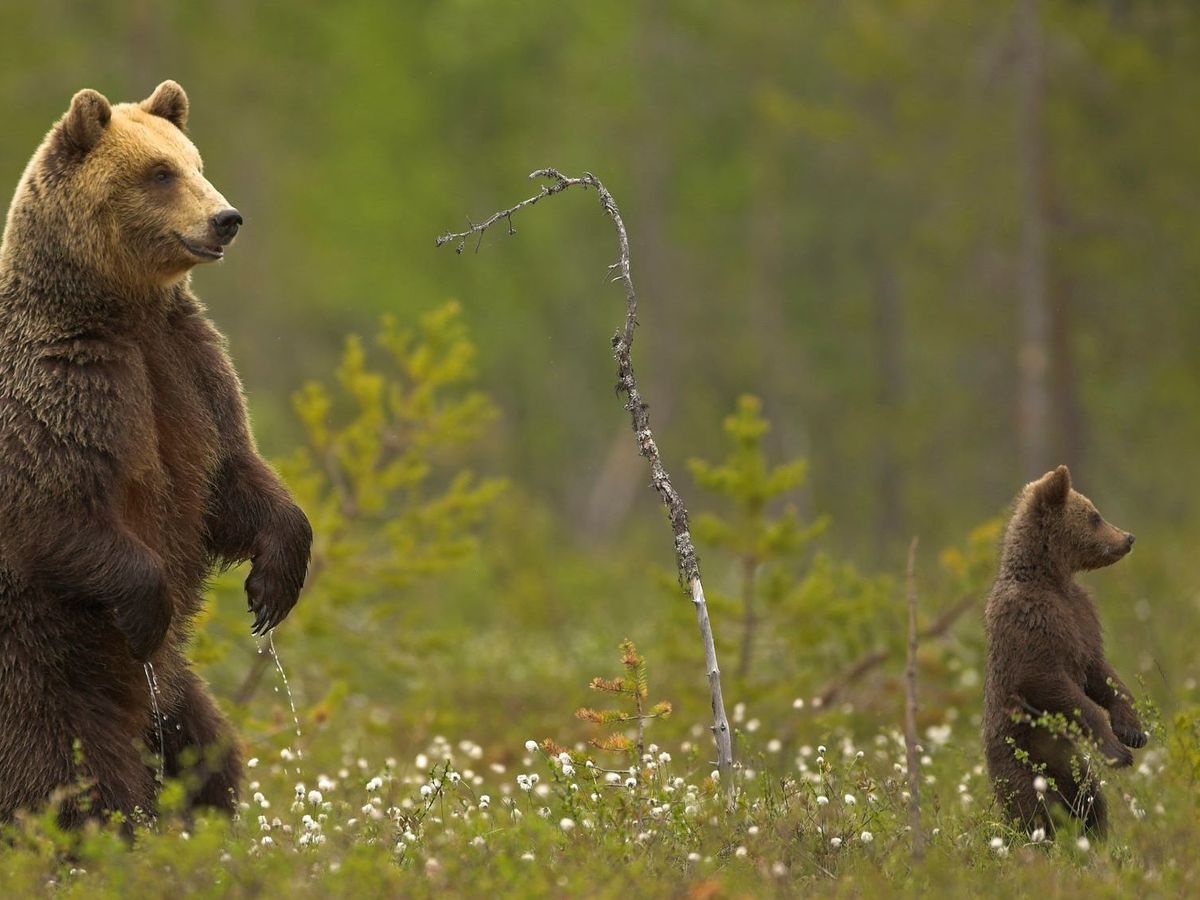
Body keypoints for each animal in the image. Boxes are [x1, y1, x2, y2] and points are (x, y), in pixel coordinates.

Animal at [0, 82, 314, 830]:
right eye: (159, 173)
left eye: (195, 162)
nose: (227, 218)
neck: (122, 309)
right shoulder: (65, 384)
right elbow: (57, 507)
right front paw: (147, 607)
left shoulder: (187, 369)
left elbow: (231, 476)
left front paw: (274, 584)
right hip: (41, 669)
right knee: (70, 776)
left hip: (172, 696)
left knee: (210, 753)